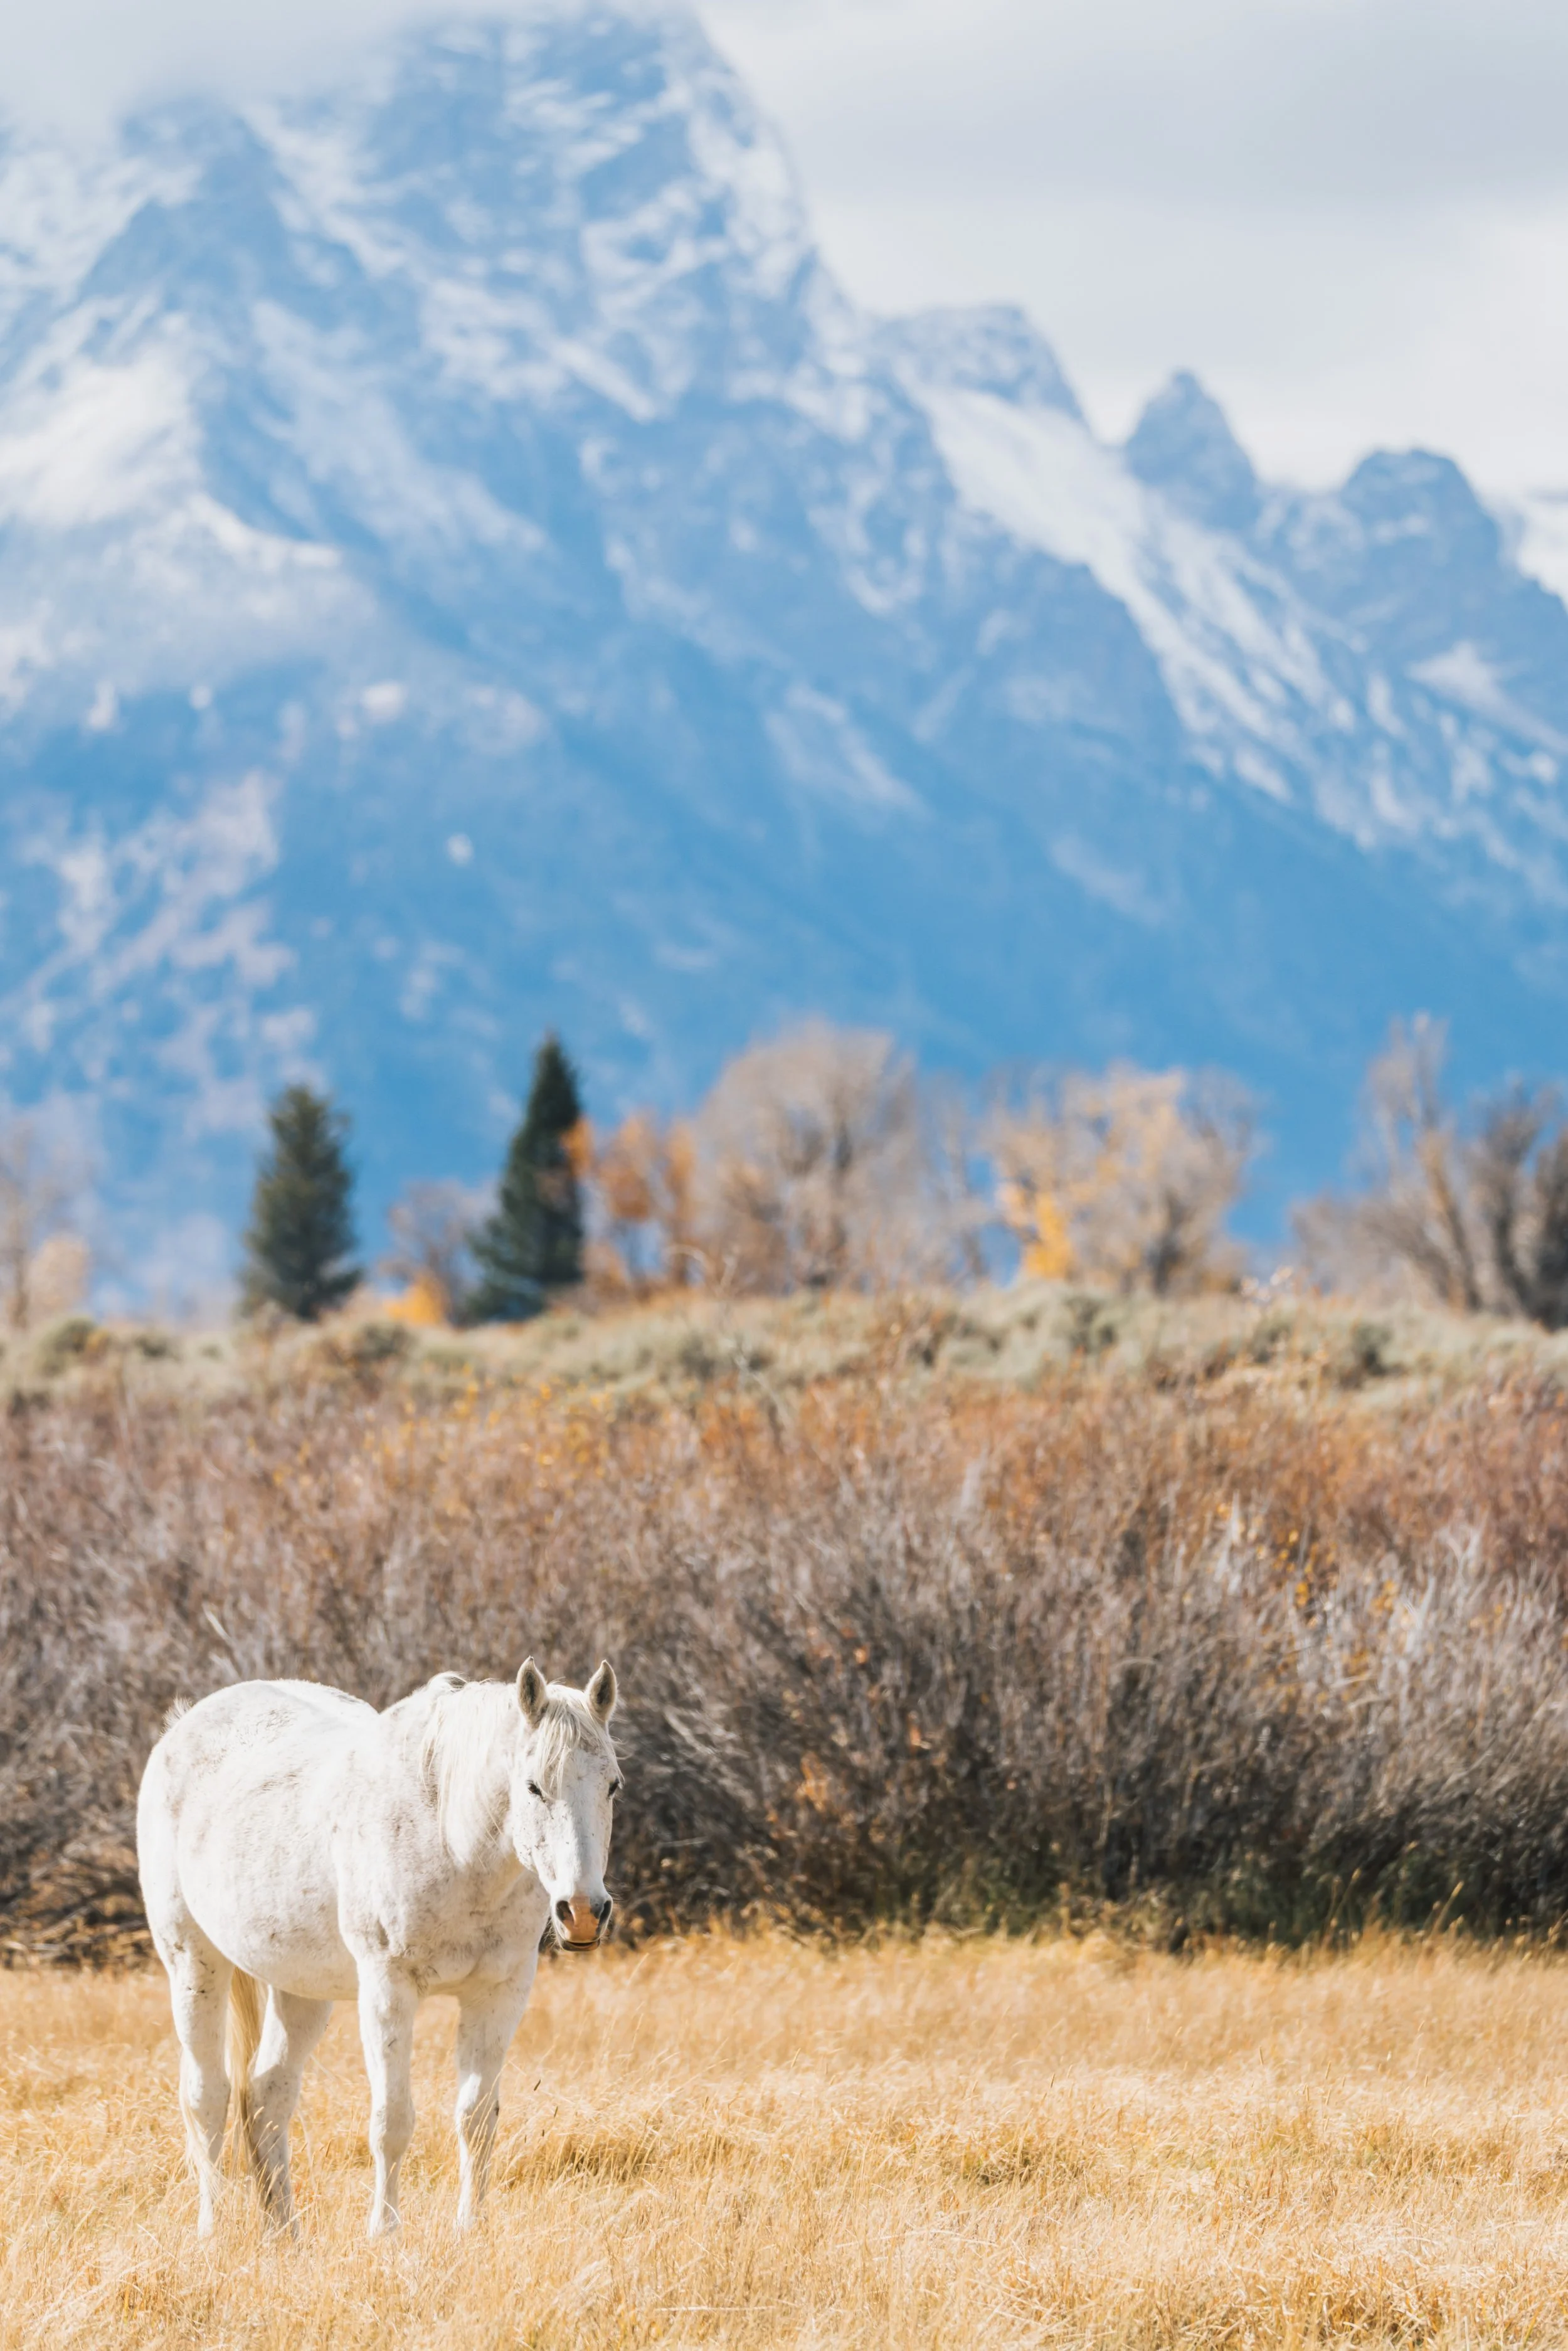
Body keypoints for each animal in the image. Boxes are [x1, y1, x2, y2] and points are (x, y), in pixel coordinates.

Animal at [136, 1656, 620, 2238]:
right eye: (533, 1788)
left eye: (613, 1786)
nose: (584, 1912)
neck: (450, 1839)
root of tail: (180, 1729)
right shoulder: (389, 1991)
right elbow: (393, 2121)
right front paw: (384, 2234)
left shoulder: (499, 1993)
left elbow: (477, 2119)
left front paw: (470, 2231)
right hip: (194, 1964)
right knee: (208, 2096)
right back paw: (213, 2231)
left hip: (301, 1991)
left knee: (267, 2095)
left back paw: (284, 2234)